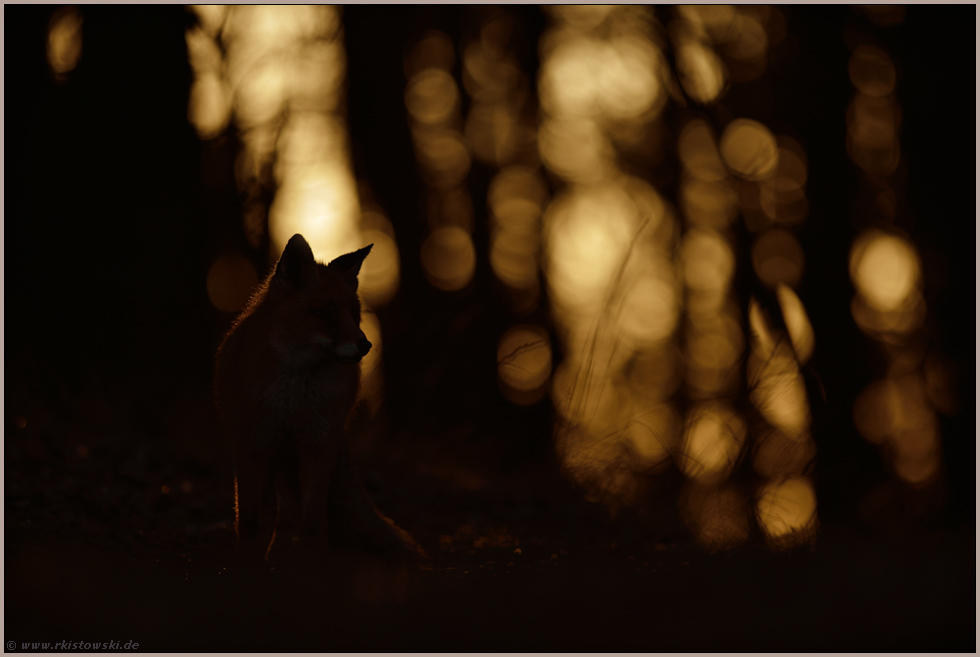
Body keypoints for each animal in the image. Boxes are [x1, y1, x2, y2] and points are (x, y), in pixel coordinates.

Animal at [214, 233, 422, 560]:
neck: (294, 400)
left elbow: (313, 523)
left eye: (353, 314)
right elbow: (249, 522)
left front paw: (314, 565)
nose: (366, 346)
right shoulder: (253, 446)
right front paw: (246, 562)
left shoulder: (318, 447)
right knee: (268, 513)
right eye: (324, 314)